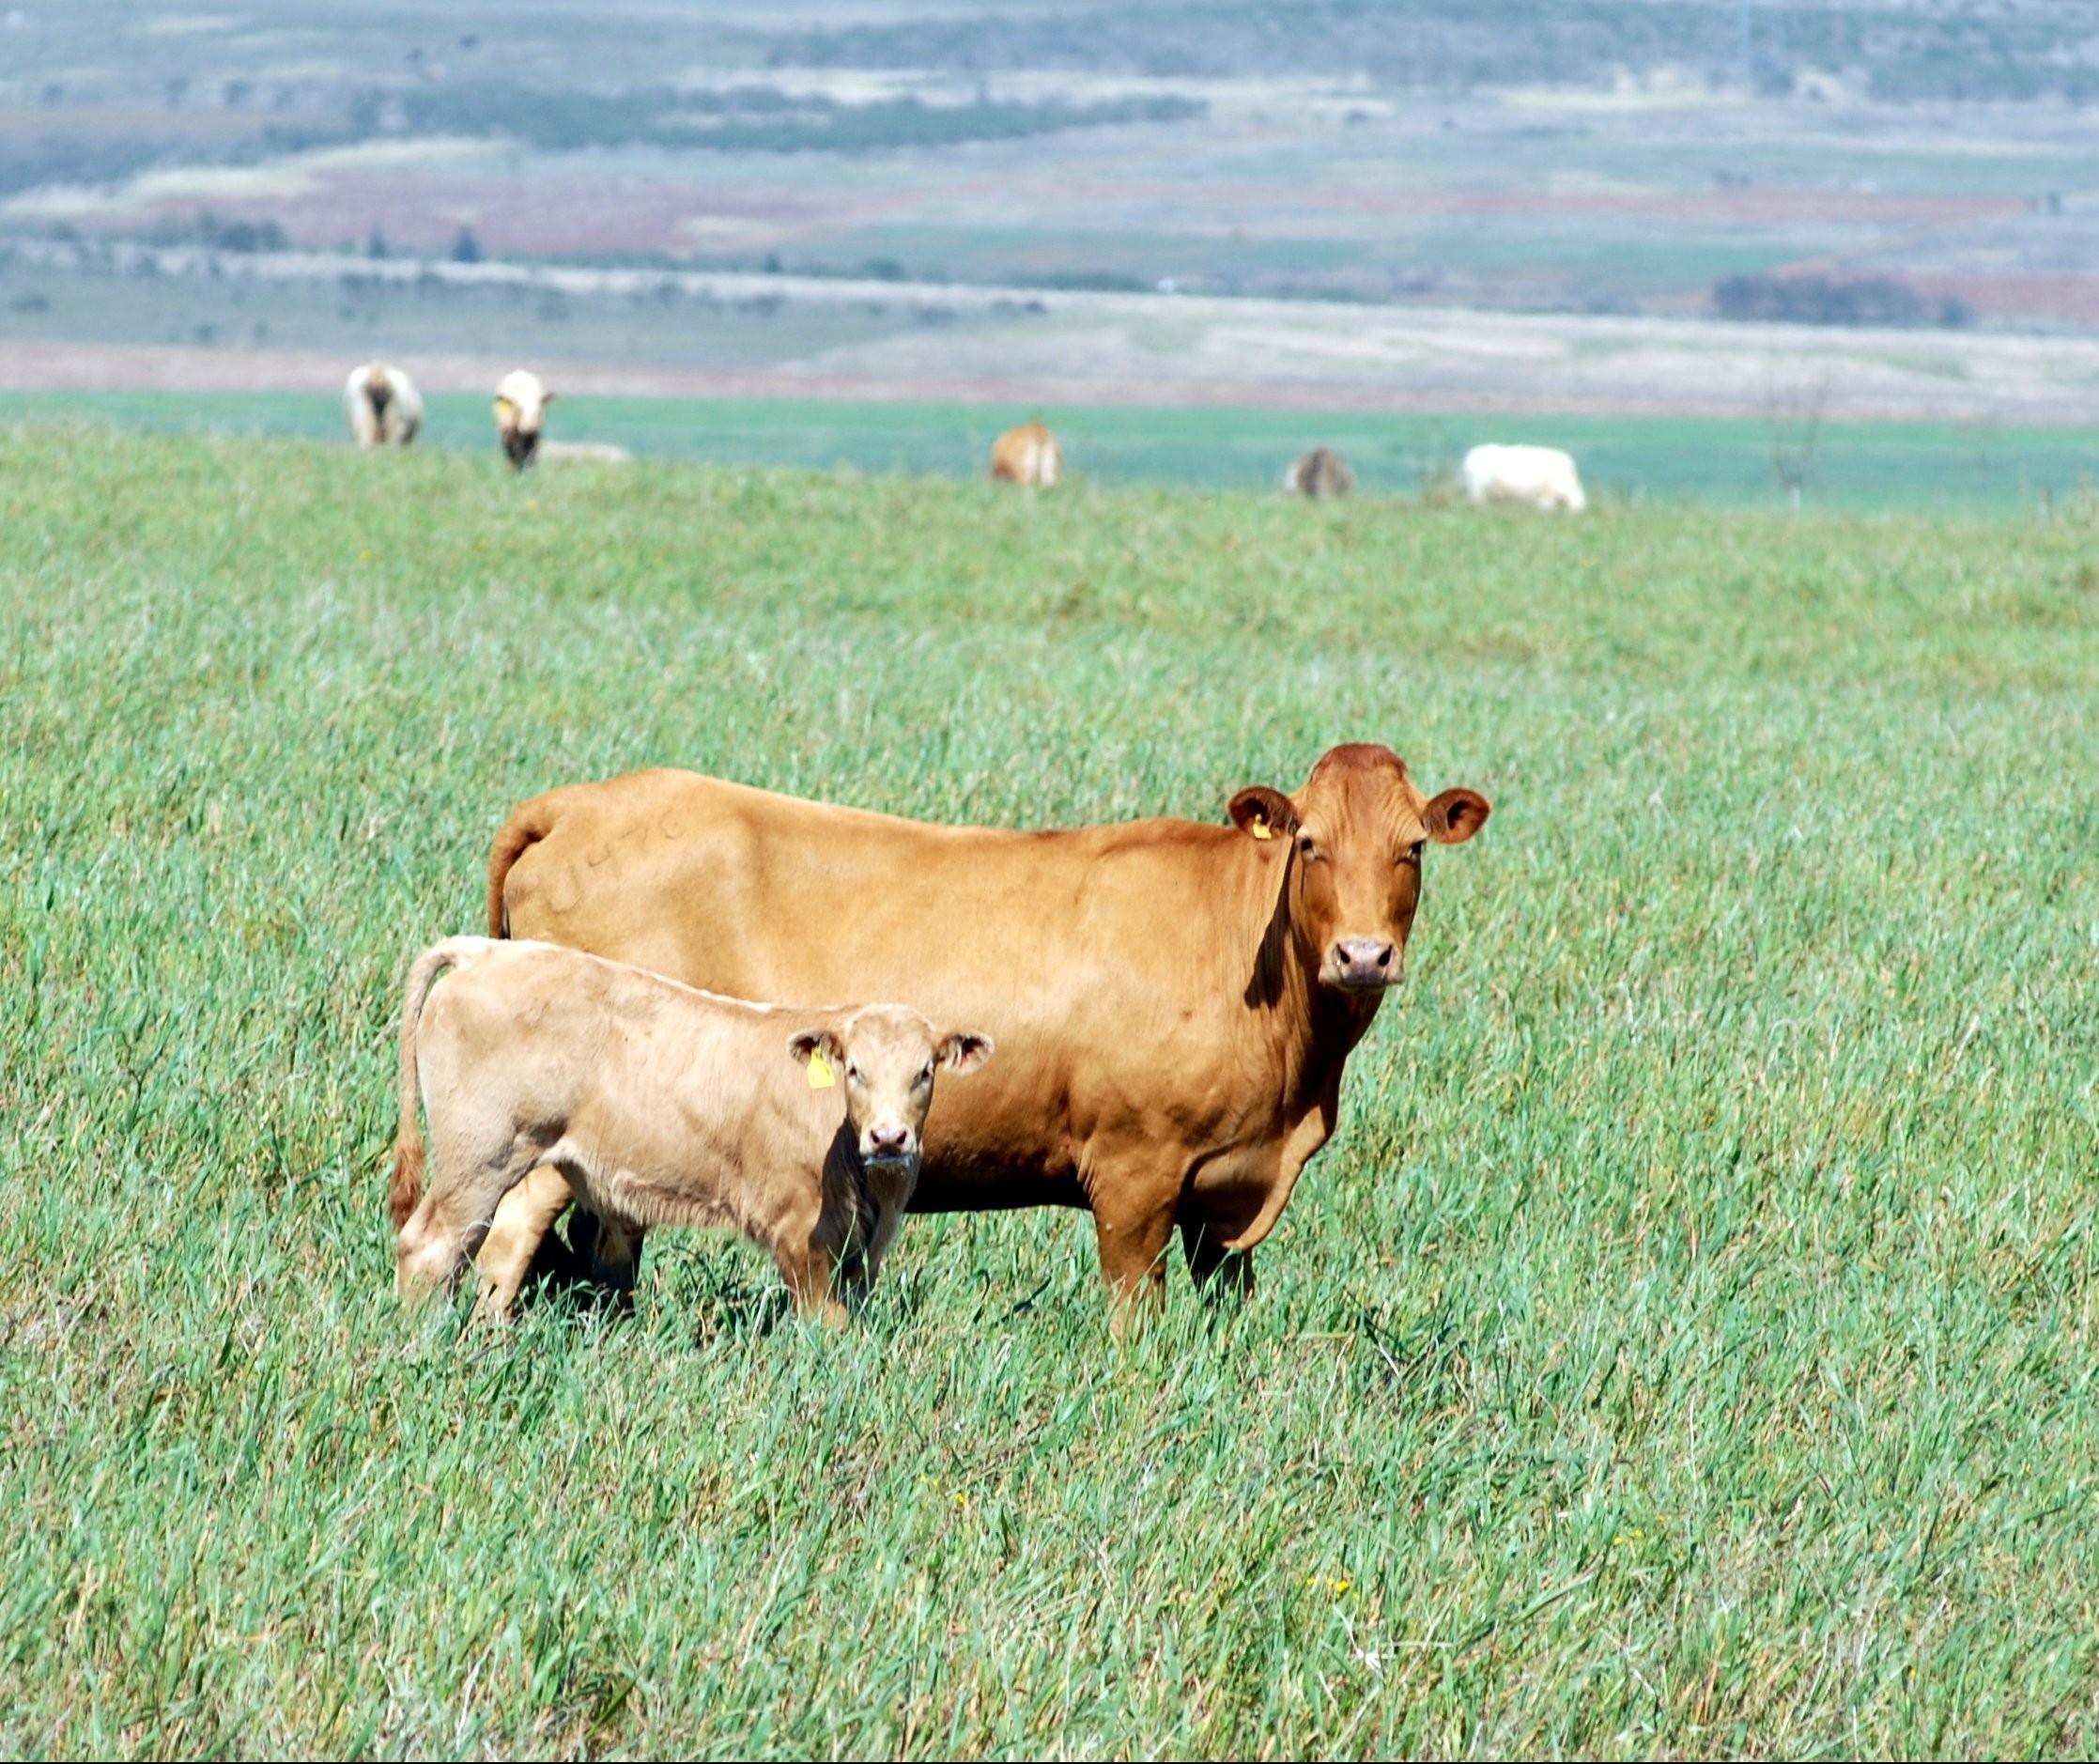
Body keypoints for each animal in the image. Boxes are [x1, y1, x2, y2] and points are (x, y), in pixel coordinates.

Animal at [392, 936, 990, 1326]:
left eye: (924, 1071)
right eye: (854, 1070)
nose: (888, 1138)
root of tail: (490, 951)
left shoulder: (862, 1247)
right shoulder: (803, 1235)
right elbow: (828, 1326)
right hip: (479, 1157)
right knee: (433, 1246)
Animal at [480, 747, 1494, 1326]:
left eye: (1411, 848)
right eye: (1309, 843)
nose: (1362, 955)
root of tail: (582, 802)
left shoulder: (1227, 1194)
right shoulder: (1136, 1171)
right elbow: (1135, 1316)